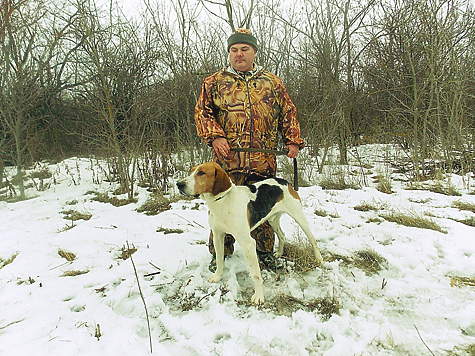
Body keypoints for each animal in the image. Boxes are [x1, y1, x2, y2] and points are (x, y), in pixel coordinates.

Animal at [177, 163, 326, 304]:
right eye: (192, 171)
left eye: (201, 173)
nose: (179, 184)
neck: (222, 202)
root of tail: (284, 181)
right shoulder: (218, 236)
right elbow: (219, 259)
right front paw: (217, 276)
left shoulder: (248, 243)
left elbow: (255, 275)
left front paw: (259, 296)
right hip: (272, 220)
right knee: (282, 235)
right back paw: (279, 253)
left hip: (299, 217)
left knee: (312, 239)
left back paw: (319, 258)